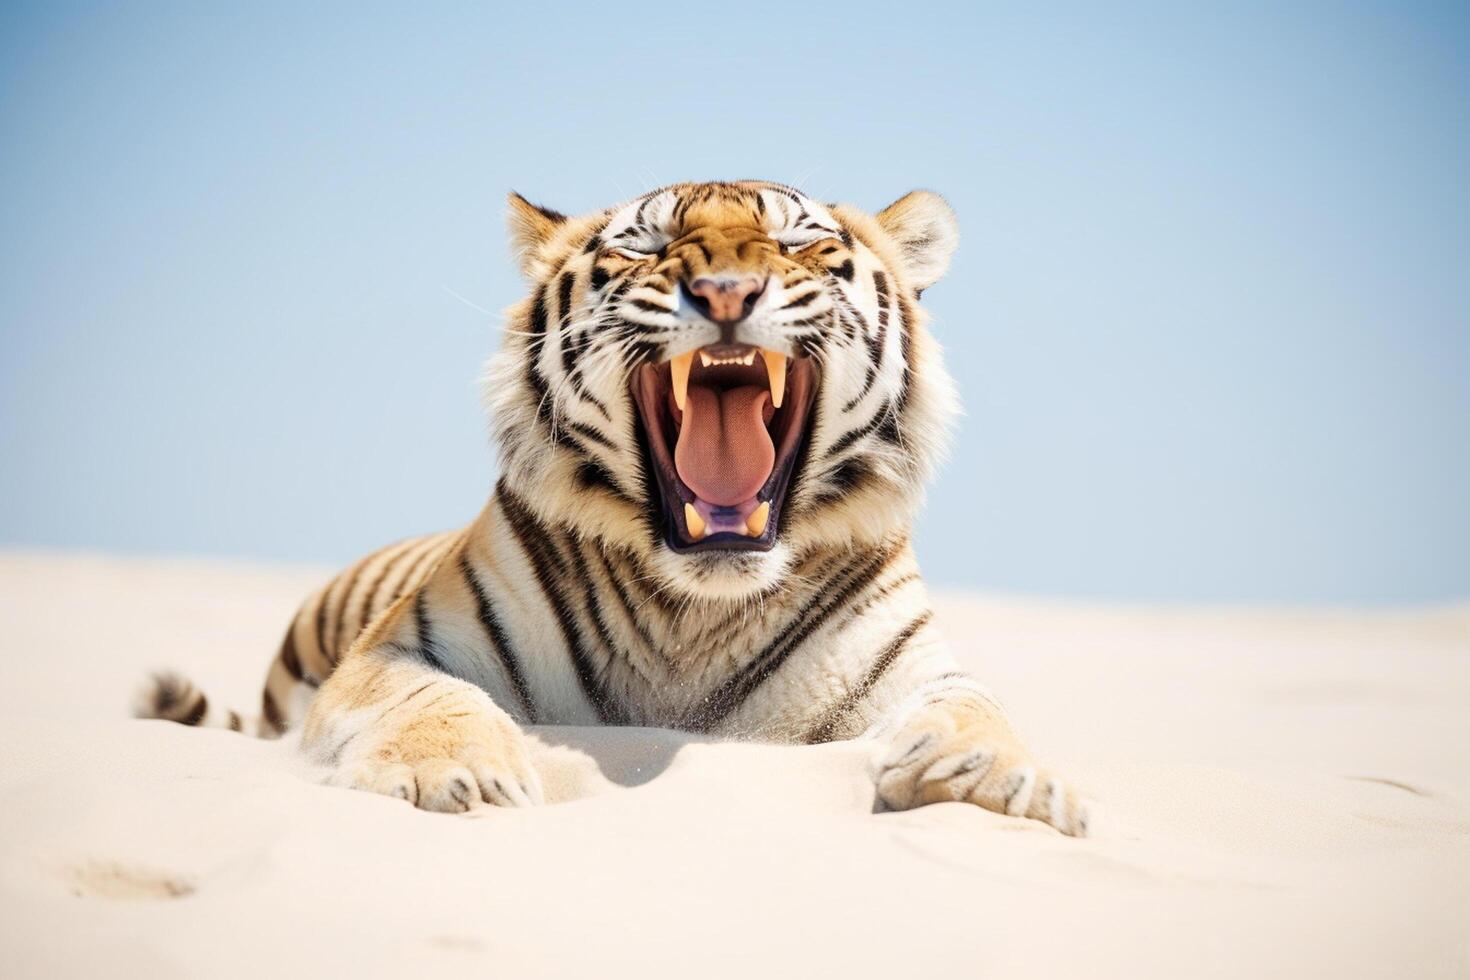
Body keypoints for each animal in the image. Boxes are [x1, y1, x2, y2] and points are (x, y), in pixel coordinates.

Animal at [140, 178, 1093, 834]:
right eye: (649, 246)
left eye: (796, 244)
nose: (727, 291)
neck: (696, 614)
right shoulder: (403, 648)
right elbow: (428, 701)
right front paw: (443, 778)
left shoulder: (913, 669)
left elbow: (977, 708)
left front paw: (999, 781)